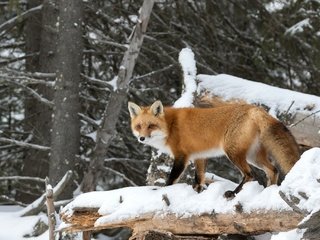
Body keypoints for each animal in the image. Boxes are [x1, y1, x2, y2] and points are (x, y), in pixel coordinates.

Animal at [127, 100, 300, 198]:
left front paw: (162, 191)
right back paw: (267, 192)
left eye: (151, 126)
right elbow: (199, 178)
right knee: (273, 170)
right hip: (253, 156)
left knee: (250, 174)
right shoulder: (199, 156)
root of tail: (255, 109)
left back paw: (234, 193)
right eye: (139, 126)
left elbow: (171, 180)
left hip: (233, 153)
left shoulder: (181, 156)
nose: (141, 138)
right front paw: (197, 192)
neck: (170, 126)